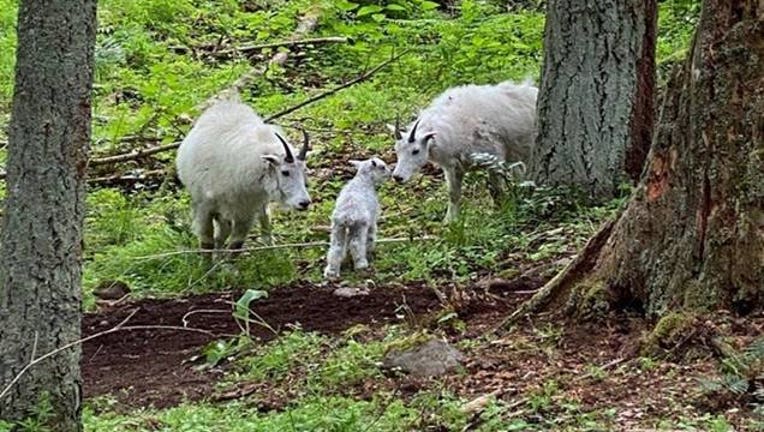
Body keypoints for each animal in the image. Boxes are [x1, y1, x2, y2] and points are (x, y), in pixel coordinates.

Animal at [176, 98, 310, 253]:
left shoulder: (246, 212)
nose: (304, 202)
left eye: (304, 170)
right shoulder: (204, 207)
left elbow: (235, 245)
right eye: (285, 172)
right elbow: (207, 243)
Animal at [390, 79, 540, 223]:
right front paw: (449, 221)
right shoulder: (453, 168)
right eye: (397, 150)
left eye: (415, 151)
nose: (397, 177)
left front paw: (502, 211)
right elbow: (453, 194)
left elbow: (497, 189)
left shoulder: (494, 159)